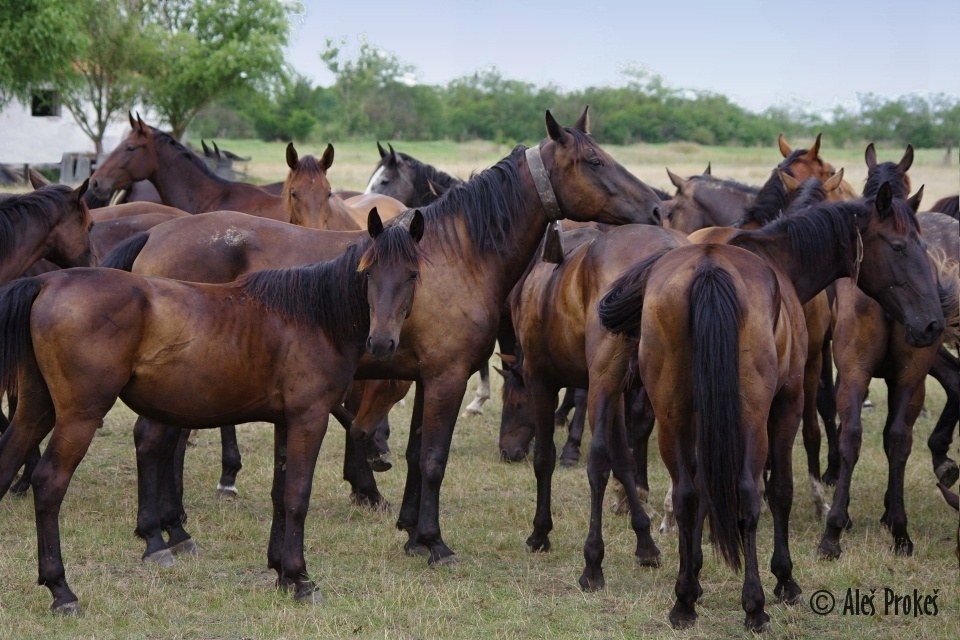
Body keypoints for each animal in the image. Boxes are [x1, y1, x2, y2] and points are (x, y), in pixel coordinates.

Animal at [0, 210, 424, 616]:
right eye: (368, 273)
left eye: (413, 274)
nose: (382, 341)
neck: (312, 317)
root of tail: (47, 283)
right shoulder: (309, 419)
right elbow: (297, 495)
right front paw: (302, 580)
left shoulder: (286, 422)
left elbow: (280, 493)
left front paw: (281, 573)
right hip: (79, 417)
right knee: (50, 483)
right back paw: (62, 590)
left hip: (35, 411)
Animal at [600, 181, 944, 632]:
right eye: (900, 246)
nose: (933, 323)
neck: (779, 260)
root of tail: (709, 270)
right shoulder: (788, 402)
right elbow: (779, 489)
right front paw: (785, 580)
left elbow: (700, 494)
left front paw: (693, 579)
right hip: (752, 414)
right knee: (749, 494)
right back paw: (755, 605)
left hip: (672, 413)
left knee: (690, 493)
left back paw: (684, 602)